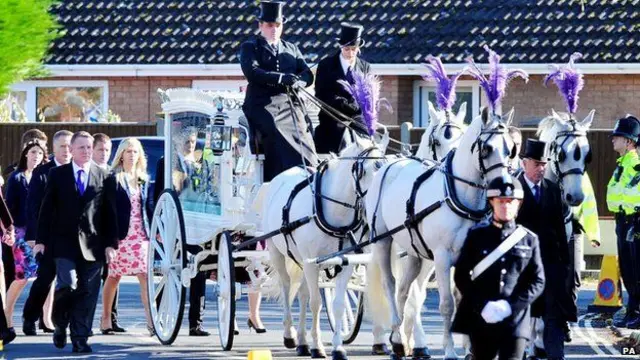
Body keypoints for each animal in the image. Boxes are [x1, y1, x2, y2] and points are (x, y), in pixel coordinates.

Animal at [264, 131, 390, 358]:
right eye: (364, 170)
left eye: (385, 167)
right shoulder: (311, 263)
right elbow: (316, 303)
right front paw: (318, 347)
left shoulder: (345, 262)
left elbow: (337, 304)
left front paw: (338, 347)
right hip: (277, 251)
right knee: (287, 286)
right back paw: (290, 335)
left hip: (302, 261)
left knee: (303, 294)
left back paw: (302, 342)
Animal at [364, 107, 516, 360]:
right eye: (487, 148)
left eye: (511, 148)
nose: (504, 186)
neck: (458, 194)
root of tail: (388, 164)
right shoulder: (443, 257)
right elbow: (447, 304)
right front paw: (450, 351)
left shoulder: (469, 257)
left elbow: (465, 298)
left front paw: (470, 349)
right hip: (383, 241)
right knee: (390, 284)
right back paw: (397, 337)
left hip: (414, 254)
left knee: (404, 290)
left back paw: (400, 339)